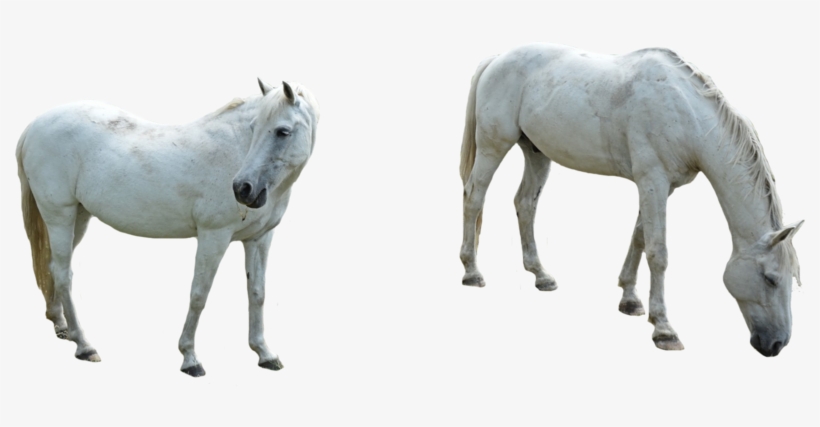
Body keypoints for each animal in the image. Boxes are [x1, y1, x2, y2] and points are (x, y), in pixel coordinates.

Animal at [17, 79, 319, 376]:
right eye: (254, 128)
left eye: (282, 131)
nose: (242, 189)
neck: (236, 150)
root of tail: (33, 126)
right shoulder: (213, 236)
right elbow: (199, 294)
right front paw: (190, 358)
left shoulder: (259, 239)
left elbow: (257, 293)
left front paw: (265, 354)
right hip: (60, 215)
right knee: (64, 274)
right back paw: (84, 345)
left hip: (78, 217)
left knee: (53, 267)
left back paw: (62, 326)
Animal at [458, 43, 803, 356]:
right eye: (771, 279)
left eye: (792, 278)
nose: (776, 344)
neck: (685, 112)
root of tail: (497, 59)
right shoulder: (653, 180)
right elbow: (658, 252)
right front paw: (664, 329)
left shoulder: (659, 186)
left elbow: (639, 238)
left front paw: (630, 300)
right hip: (493, 146)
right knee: (474, 197)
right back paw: (472, 272)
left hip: (536, 152)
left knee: (525, 204)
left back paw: (541, 275)